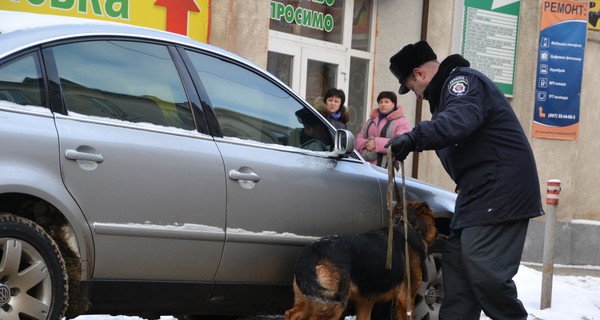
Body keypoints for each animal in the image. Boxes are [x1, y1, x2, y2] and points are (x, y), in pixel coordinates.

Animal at [284, 201, 436, 318]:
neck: (408, 225)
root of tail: (311, 251)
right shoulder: (406, 302)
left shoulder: (365, 303)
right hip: (333, 305)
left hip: (310, 298)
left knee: (290, 313)